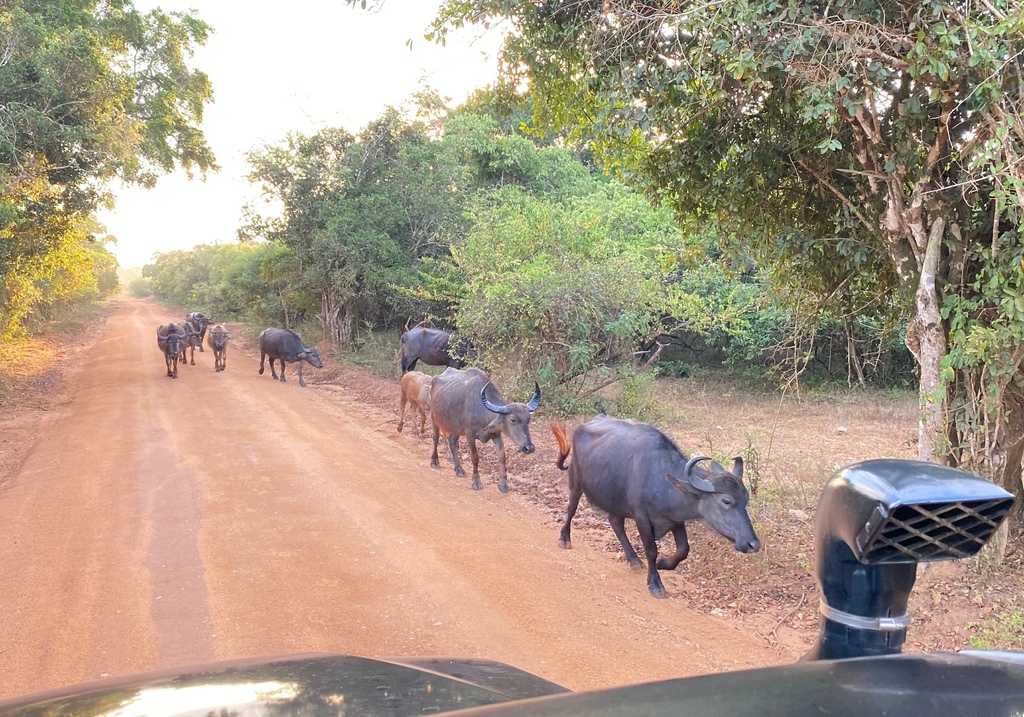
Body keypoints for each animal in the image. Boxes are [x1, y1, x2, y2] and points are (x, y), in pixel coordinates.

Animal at [552, 413, 761, 598]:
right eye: (726, 501)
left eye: (745, 500)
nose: (753, 544)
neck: (661, 479)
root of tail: (584, 425)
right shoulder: (641, 517)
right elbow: (651, 549)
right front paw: (655, 582)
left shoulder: (675, 519)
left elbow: (683, 549)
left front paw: (663, 564)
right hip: (576, 481)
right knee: (571, 508)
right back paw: (564, 538)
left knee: (615, 521)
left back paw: (633, 559)